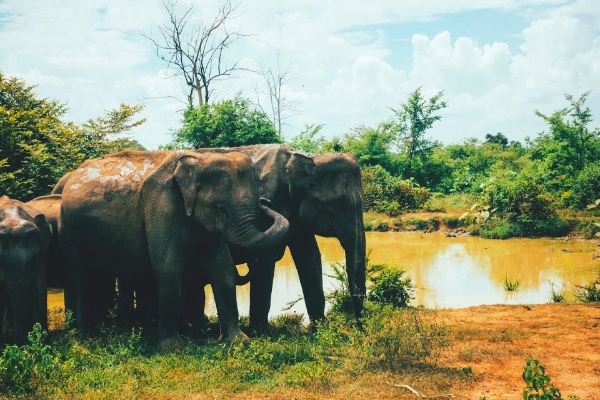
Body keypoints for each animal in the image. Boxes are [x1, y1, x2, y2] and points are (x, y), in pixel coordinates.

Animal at [59, 150, 290, 344]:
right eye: (220, 208)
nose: (265, 201)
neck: (198, 160)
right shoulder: (161, 205)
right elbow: (169, 268)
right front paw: (173, 347)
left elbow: (222, 268)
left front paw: (239, 342)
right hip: (69, 231)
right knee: (78, 277)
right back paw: (81, 338)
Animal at [197, 145, 366, 332]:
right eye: (337, 205)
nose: (358, 327)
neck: (309, 156)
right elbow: (266, 259)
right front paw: (263, 333)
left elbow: (310, 257)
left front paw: (320, 329)